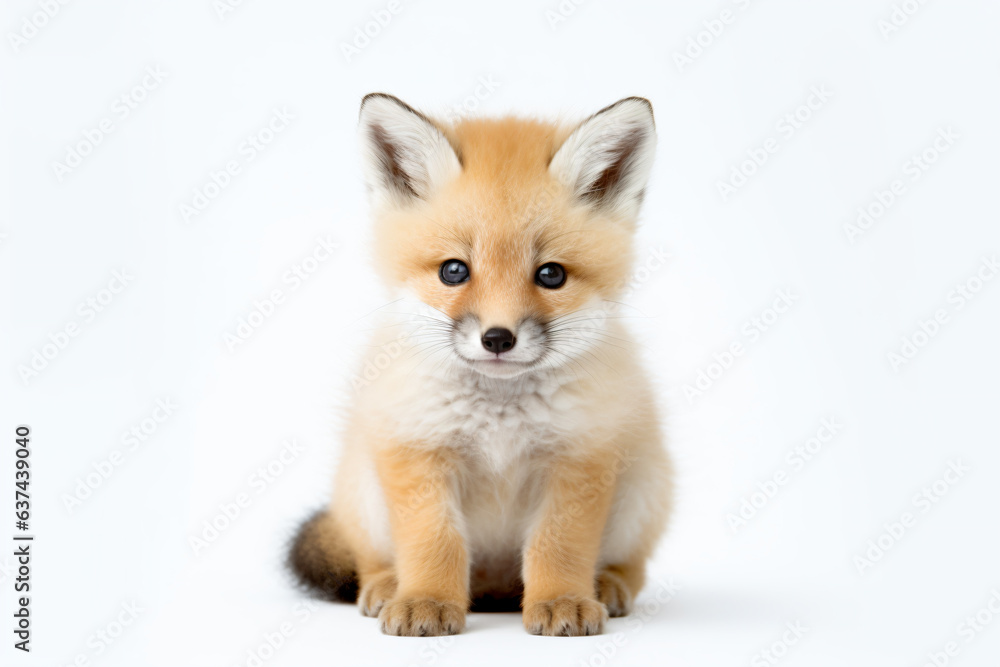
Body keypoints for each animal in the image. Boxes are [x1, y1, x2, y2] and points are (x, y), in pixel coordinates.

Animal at [292, 92, 680, 636]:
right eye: (454, 271)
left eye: (551, 275)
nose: (498, 338)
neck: (499, 419)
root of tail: (494, 591)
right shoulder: (417, 450)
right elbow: (436, 543)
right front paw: (427, 601)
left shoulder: (579, 456)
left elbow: (557, 546)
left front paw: (562, 599)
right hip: (364, 494)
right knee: (372, 558)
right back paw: (388, 585)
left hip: (642, 489)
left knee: (629, 565)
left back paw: (604, 585)